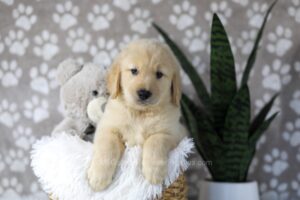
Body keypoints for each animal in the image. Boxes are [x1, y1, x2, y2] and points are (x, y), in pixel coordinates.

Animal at [86, 38, 186, 191]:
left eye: (159, 74)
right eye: (134, 71)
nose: (144, 93)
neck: (140, 114)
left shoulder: (174, 133)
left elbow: (155, 140)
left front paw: (153, 171)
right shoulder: (107, 128)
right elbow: (107, 147)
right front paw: (99, 177)